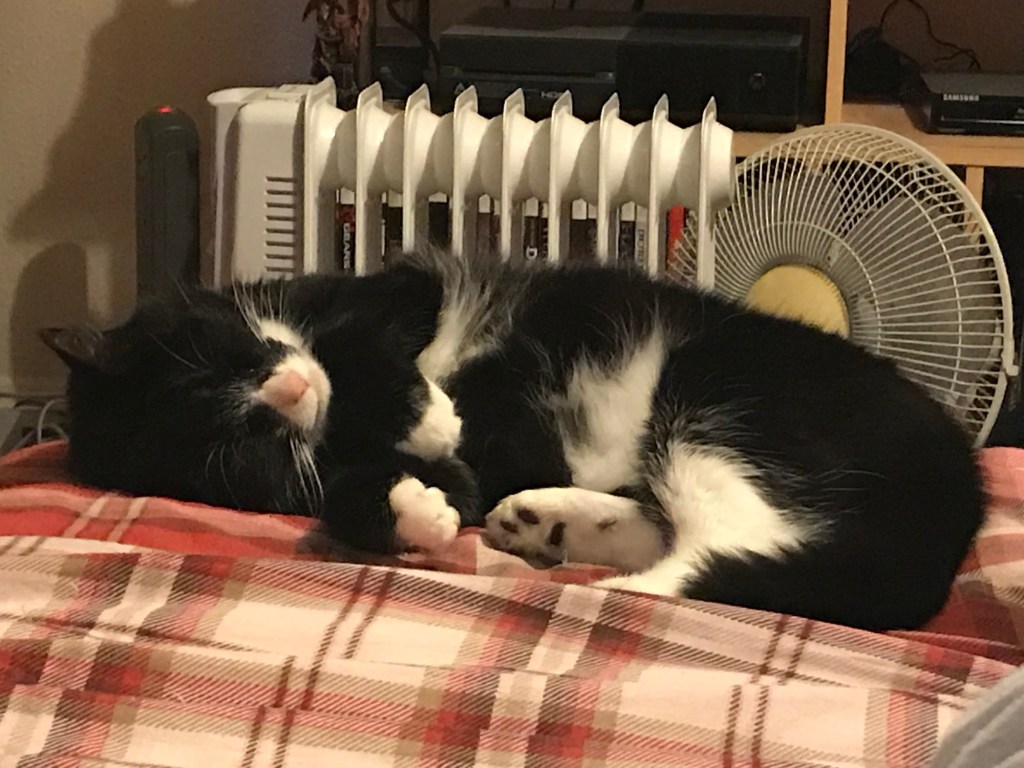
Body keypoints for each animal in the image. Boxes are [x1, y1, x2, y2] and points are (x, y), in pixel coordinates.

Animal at [41, 250, 986, 631]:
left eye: (222, 357)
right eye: (244, 443)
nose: (290, 388)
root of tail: (963, 496)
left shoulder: (392, 290)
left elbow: (365, 338)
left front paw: (421, 413)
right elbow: (404, 486)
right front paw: (414, 510)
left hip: (719, 389)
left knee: (730, 547)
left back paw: (605, 586)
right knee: (705, 539)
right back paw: (552, 526)